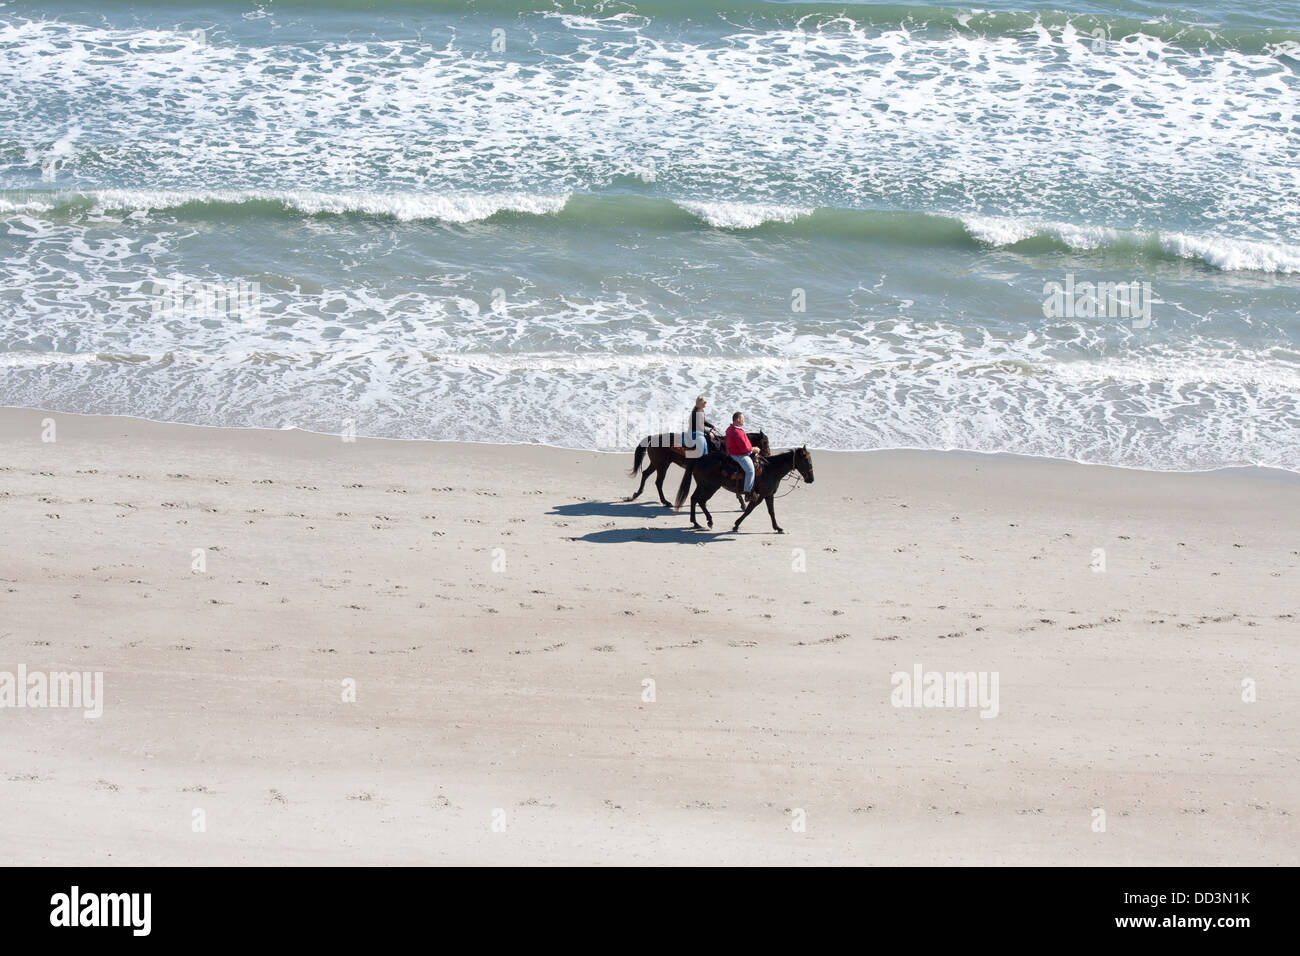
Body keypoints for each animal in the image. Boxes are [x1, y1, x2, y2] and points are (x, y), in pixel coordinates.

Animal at [628, 430, 769, 508]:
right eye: (766, 442)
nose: (767, 456)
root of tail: (652, 437)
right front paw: (743, 504)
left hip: (657, 463)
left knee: (645, 474)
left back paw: (637, 494)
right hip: (662, 465)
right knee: (658, 482)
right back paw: (665, 501)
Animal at [673, 446, 814, 533]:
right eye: (807, 460)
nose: (811, 479)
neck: (771, 469)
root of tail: (699, 459)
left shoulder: (768, 495)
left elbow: (771, 512)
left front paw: (777, 528)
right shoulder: (761, 495)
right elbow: (749, 510)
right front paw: (736, 525)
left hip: (703, 486)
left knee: (694, 499)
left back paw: (696, 522)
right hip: (710, 487)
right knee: (700, 500)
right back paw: (708, 521)